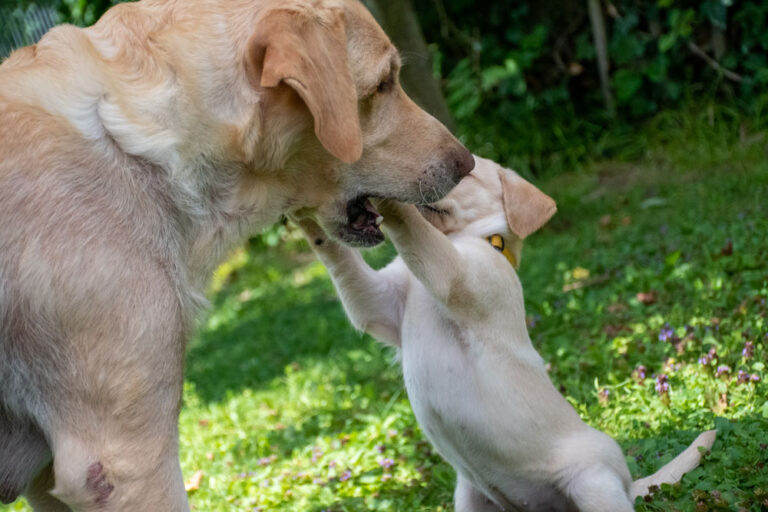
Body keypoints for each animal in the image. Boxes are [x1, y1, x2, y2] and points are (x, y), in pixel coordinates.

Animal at [296, 157, 716, 512]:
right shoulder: (382, 304)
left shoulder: (457, 278)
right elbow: (340, 259)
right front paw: (305, 217)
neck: (462, 238)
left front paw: (388, 197)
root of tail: (630, 485)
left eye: (465, 175)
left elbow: (415, 232)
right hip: (470, 496)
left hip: (593, 483)